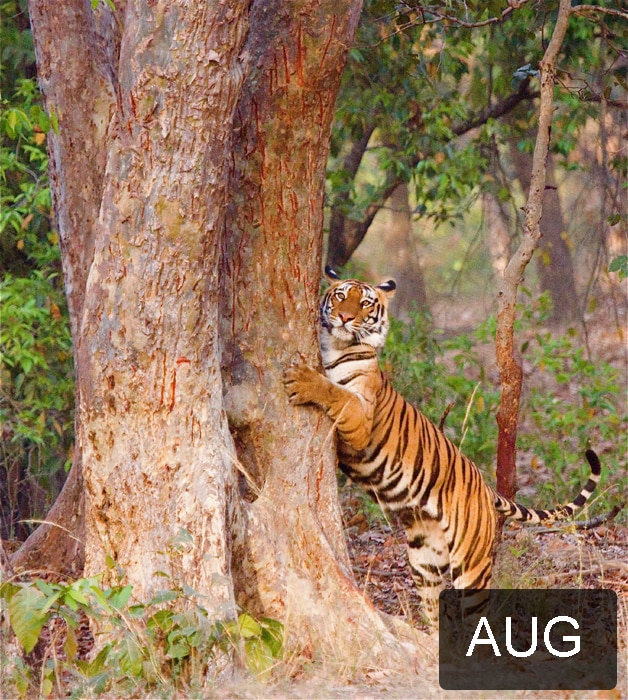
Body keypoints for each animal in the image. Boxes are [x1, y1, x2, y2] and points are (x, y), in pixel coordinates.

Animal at [282, 268, 600, 628]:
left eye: (364, 303)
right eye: (340, 296)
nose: (346, 318)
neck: (336, 346)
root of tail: (487, 488)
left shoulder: (361, 416)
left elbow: (336, 392)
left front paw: (302, 378)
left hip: (471, 564)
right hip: (425, 559)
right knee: (434, 608)